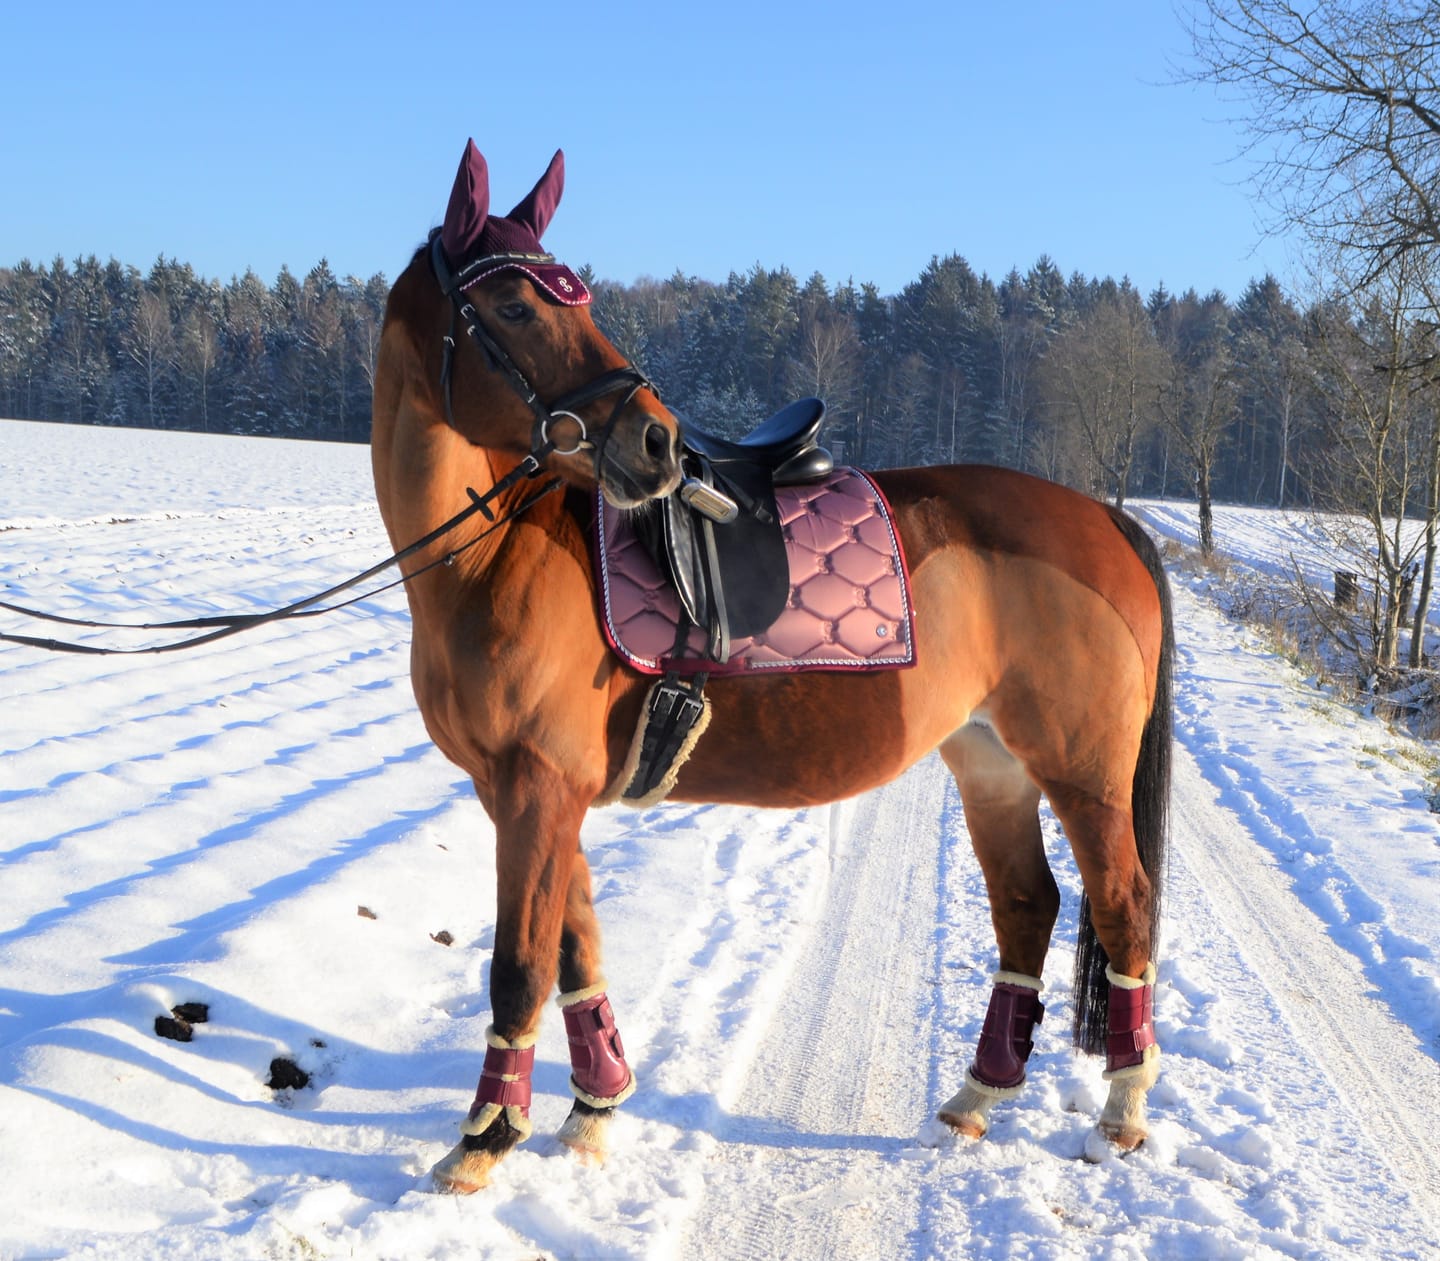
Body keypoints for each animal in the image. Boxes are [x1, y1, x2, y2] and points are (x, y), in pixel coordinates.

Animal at [369, 141, 1173, 1193]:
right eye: (511, 305)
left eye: (571, 299)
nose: (656, 442)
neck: (495, 553)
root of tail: (1106, 520)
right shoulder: (531, 793)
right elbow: (576, 947)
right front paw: (593, 1108)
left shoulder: (538, 788)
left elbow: (519, 966)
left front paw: (483, 1138)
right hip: (989, 759)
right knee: (1027, 904)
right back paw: (976, 1096)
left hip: (1084, 771)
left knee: (1123, 907)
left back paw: (1122, 1110)